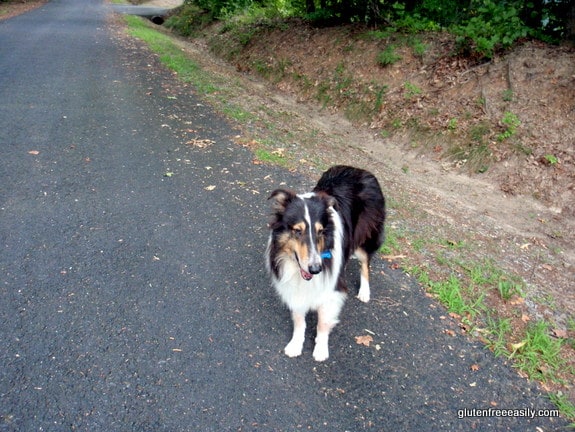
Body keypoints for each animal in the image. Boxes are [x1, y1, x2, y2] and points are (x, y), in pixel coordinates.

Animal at [266, 165, 388, 362]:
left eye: (320, 231)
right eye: (297, 231)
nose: (316, 269)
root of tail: (361, 170)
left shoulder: (332, 290)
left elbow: (323, 322)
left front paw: (321, 349)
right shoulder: (295, 286)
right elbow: (299, 319)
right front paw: (295, 344)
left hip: (365, 238)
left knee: (365, 263)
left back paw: (364, 291)